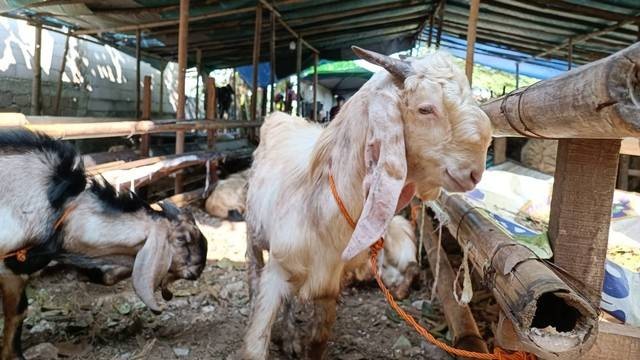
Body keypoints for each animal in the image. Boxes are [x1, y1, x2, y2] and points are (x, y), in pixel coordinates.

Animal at [242, 46, 492, 358]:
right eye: (425, 108)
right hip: (253, 233)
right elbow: (256, 342)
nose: (475, 173)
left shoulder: (329, 283)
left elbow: (318, 340)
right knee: (254, 271)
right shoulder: (278, 269)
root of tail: (281, 116)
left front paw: (297, 341)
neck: (320, 208)